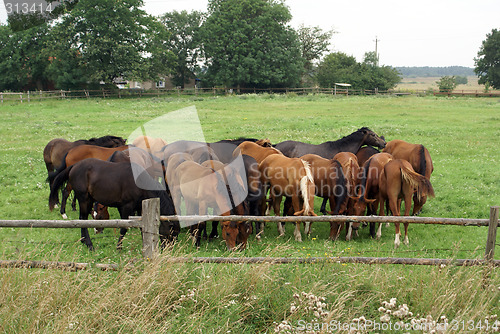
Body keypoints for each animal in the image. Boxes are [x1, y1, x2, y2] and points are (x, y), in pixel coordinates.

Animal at [49, 159, 178, 250]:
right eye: (171, 232)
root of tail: (74, 166)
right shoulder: (126, 207)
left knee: (82, 219)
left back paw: (83, 241)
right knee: (83, 220)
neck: (139, 184)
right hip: (84, 199)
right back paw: (89, 245)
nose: (168, 249)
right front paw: (119, 247)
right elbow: (124, 228)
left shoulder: (141, 207)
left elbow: (143, 228)